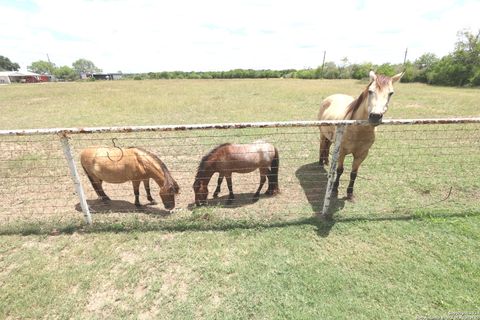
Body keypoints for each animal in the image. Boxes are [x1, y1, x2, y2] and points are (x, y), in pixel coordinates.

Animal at [318, 70, 404, 200]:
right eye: (370, 91)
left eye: (391, 93)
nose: (375, 116)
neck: (358, 129)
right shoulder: (342, 151)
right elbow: (340, 170)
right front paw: (335, 189)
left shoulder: (362, 154)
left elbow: (354, 173)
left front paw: (350, 193)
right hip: (322, 134)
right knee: (322, 146)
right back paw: (320, 163)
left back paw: (326, 162)